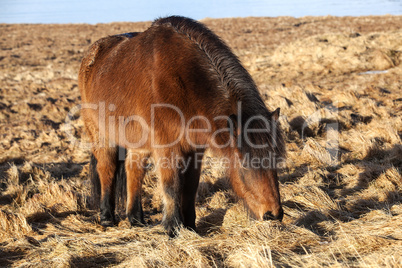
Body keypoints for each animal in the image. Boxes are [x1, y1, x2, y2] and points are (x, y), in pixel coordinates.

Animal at [78, 15, 284, 236]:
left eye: (275, 160)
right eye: (245, 163)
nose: (274, 214)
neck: (183, 81)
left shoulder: (195, 149)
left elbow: (191, 186)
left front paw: (190, 226)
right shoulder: (167, 147)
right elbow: (171, 186)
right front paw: (173, 228)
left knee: (134, 169)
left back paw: (136, 219)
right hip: (100, 134)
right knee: (106, 168)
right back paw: (107, 217)